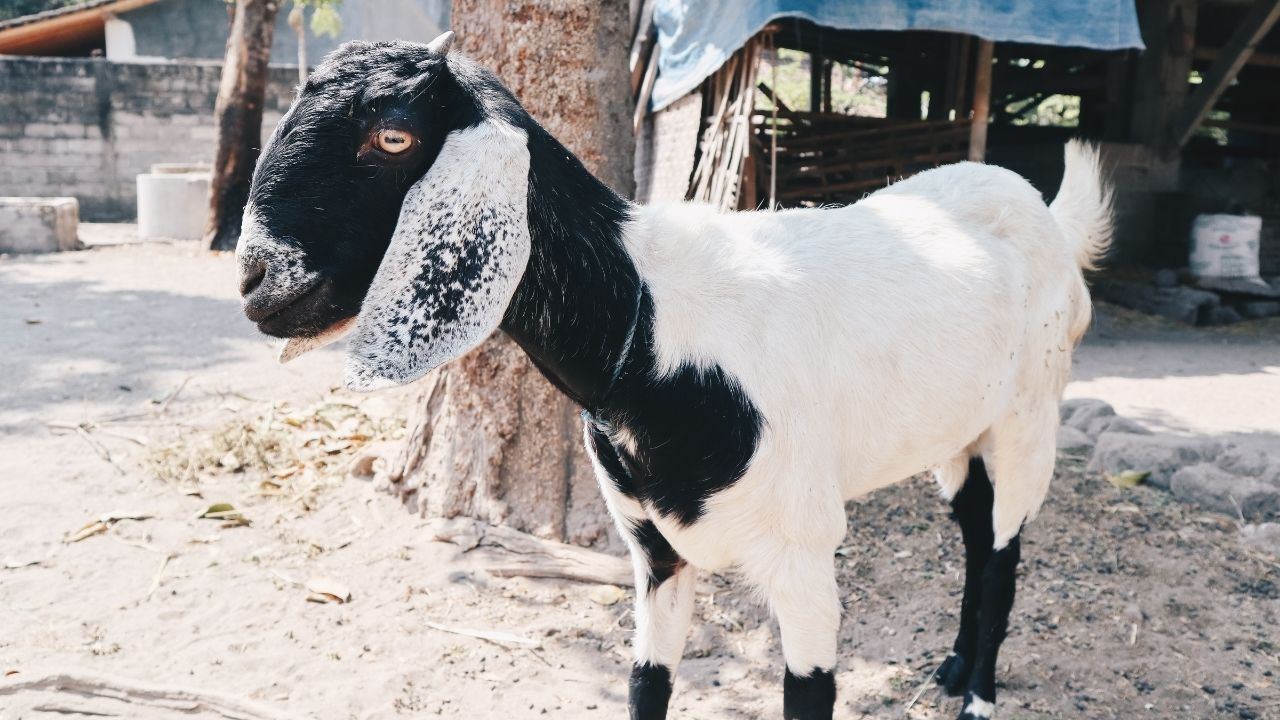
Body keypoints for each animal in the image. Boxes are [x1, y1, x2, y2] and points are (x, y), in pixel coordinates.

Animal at [238, 33, 1111, 717]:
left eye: (392, 138)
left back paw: (978, 696)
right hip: (955, 434)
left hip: (1030, 418)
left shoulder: (803, 552)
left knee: (1005, 553)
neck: (650, 328)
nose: (256, 280)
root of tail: (1042, 210)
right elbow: (646, 686)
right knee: (975, 531)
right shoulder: (651, 549)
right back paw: (956, 665)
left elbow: (809, 694)